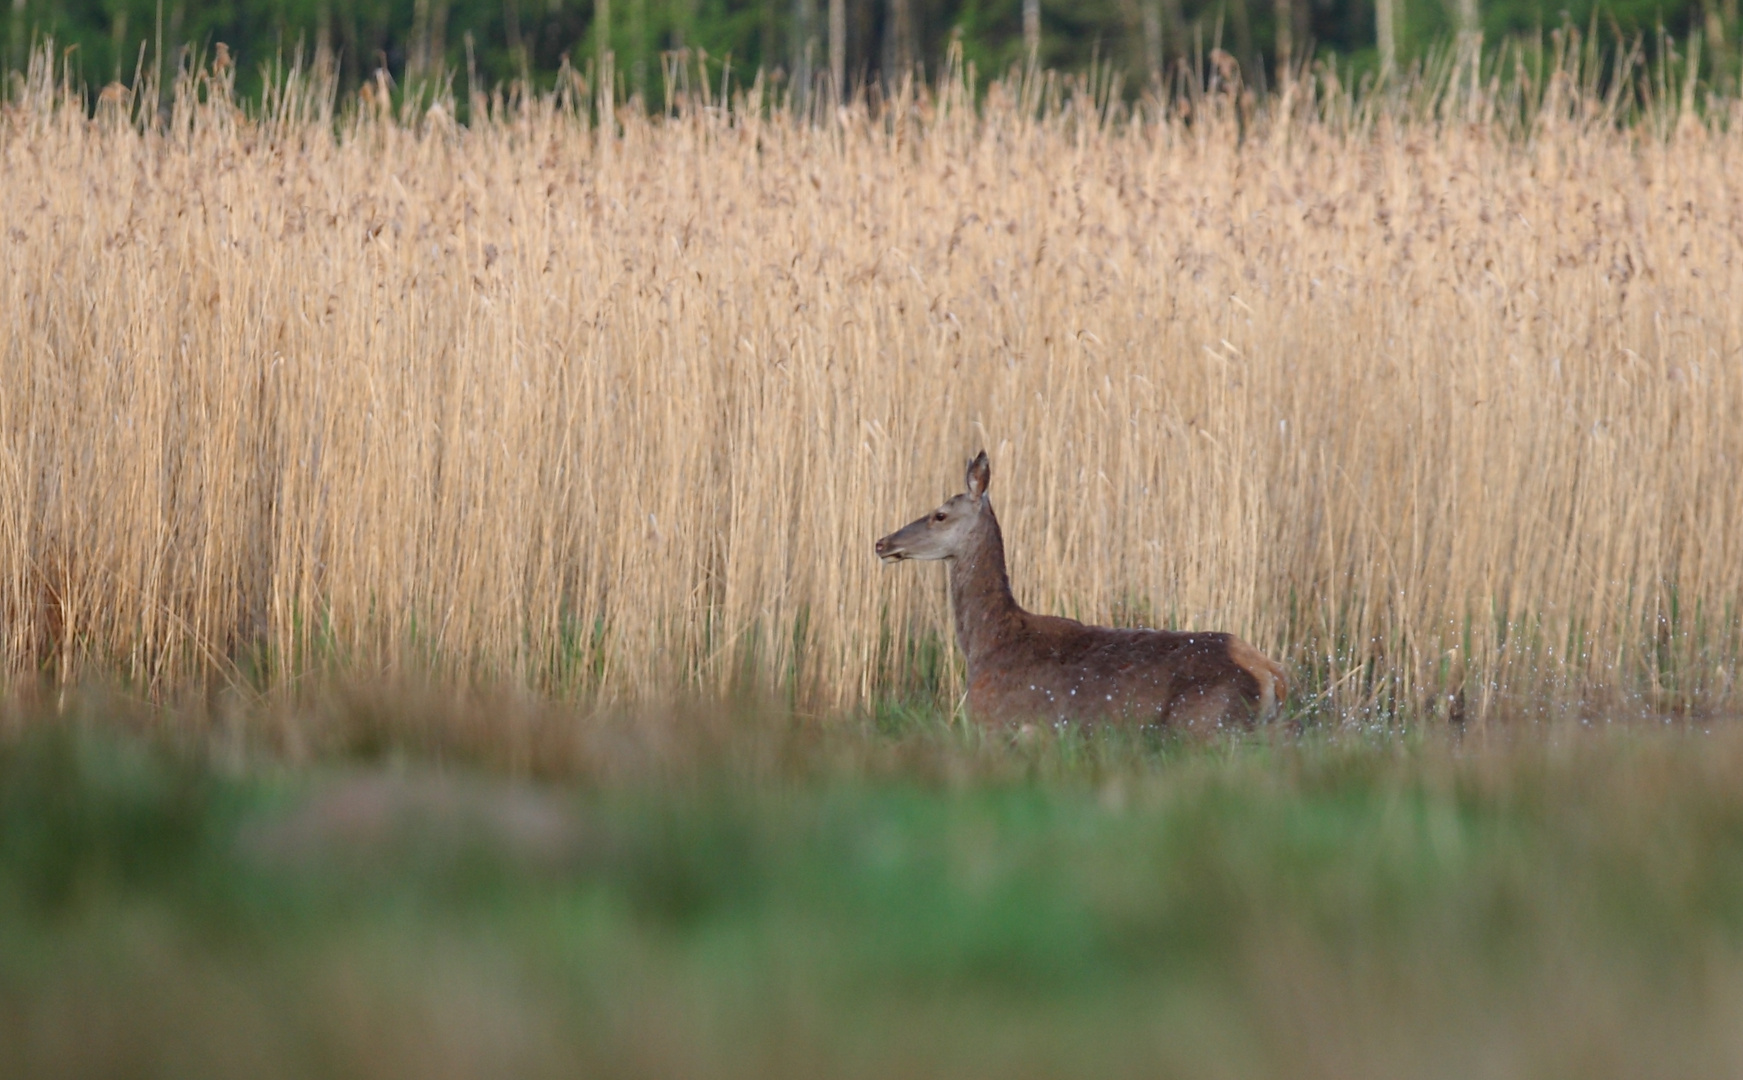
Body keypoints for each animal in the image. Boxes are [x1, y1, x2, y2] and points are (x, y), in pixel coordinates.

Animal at [878, 445, 1289, 735]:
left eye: (940, 515)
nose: (882, 542)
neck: (988, 642)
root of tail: (1274, 674)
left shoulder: (1001, 725)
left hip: (1204, 723)